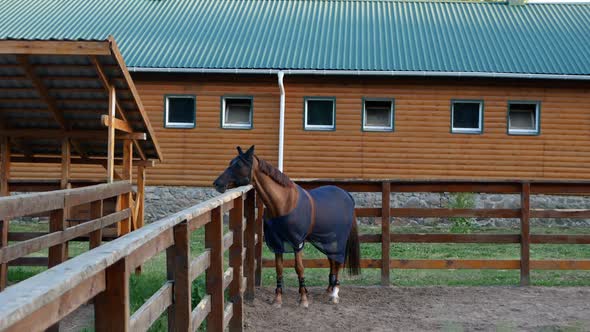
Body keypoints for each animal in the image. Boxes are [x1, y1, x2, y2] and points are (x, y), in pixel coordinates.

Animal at [214, 147, 360, 308]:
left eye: (239, 165)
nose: (217, 183)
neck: (284, 203)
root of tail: (347, 195)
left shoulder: (297, 243)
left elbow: (299, 268)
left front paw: (303, 298)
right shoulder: (277, 243)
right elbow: (279, 268)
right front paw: (278, 299)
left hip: (338, 240)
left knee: (338, 262)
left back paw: (334, 294)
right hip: (327, 239)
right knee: (332, 261)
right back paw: (329, 289)